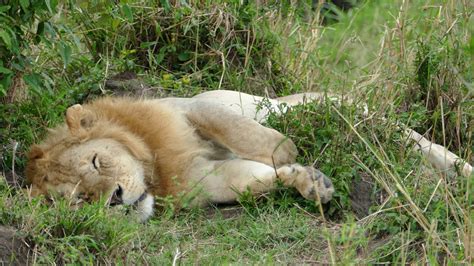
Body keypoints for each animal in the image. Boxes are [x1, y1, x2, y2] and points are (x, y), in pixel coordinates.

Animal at [25, 89, 336, 220]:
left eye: (96, 161)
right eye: (80, 198)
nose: (115, 199)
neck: (156, 169)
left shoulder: (190, 108)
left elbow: (245, 133)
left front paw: (288, 153)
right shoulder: (205, 179)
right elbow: (253, 181)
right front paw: (308, 180)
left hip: (268, 104)